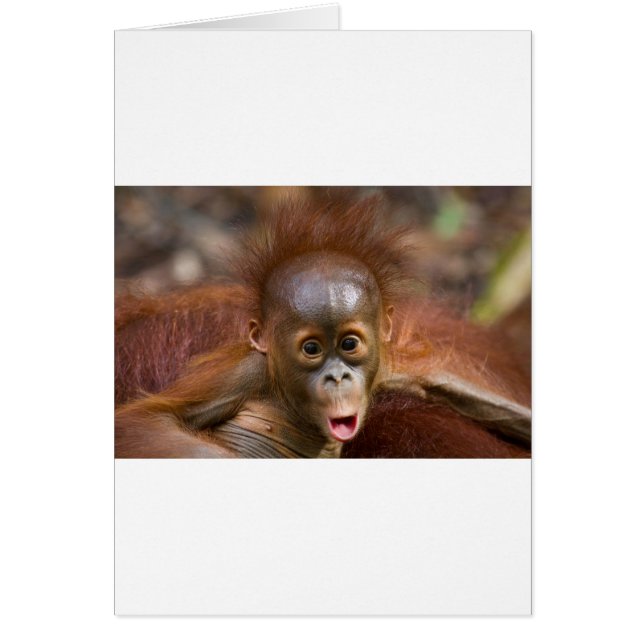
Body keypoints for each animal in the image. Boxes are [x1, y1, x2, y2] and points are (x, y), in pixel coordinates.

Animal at [115, 197, 531, 458]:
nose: (338, 377)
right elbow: (145, 419)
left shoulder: (388, 368)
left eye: (350, 344)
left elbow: (449, 387)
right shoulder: (243, 374)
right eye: (311, 349)